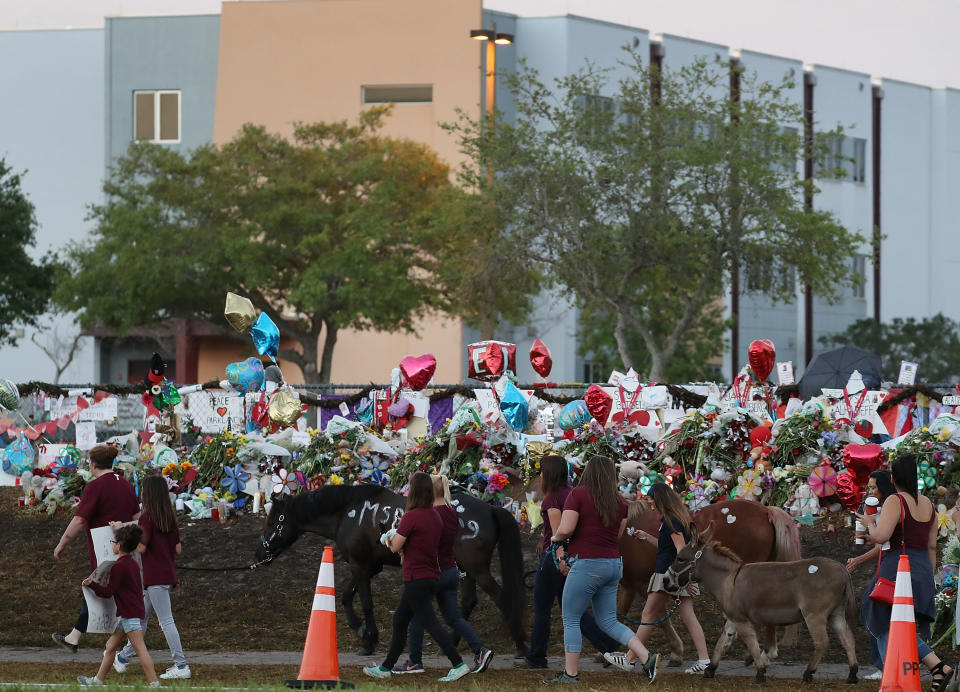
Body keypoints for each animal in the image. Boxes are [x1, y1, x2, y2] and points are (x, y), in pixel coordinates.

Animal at [255, 486, 524, 656]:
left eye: (274, 521)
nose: (258, 554)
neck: (347, 512)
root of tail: (490, 509)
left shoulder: (360, 565)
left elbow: (366, 602)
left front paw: (369, 639)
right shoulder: (369, 566)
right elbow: (346, 597)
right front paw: (361, 630)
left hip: (477, 569)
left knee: (502, 598)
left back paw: (520, 646)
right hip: (465, 569)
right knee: (468, 602)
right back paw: (452, 642)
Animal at [616, 498, 804, 664]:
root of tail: (766, 510)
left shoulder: (642, 583)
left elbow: (658, 617)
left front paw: (676, 651)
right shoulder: (628, 585)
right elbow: (618, 614)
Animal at [664, 524, 860, 680]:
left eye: (680, 558)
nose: (665, 580)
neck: (728, 579)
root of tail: (842, 569)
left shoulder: (741, 620)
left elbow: (752, 644)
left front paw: (760, 673)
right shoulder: (732, 619)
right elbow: (722, 643)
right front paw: (710, 670)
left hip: (814, 615)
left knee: (822, 642)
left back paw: (808, 673)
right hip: (836, 613)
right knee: (848, 638)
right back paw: (852, 674)